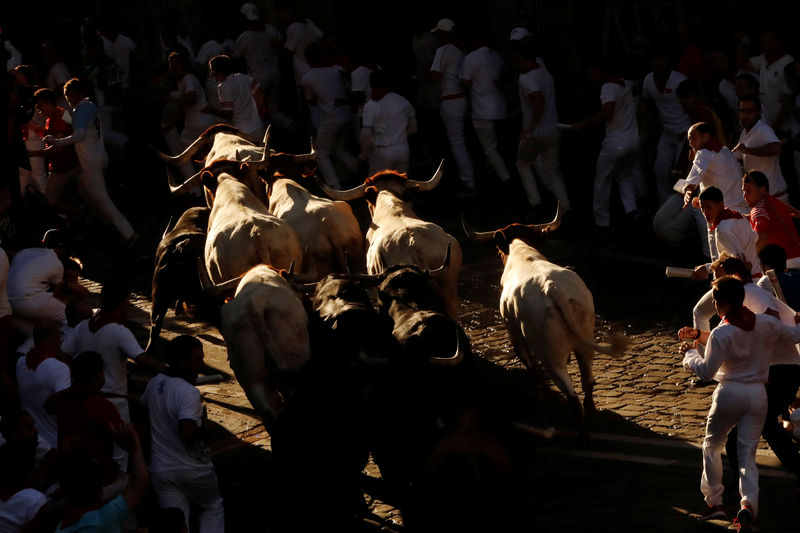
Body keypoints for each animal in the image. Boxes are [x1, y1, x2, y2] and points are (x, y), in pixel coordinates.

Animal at [462, 204, 624, 444]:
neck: (525, 256)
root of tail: (553, 289)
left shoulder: (515, 335)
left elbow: (530, 366)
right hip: (584, 342)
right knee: (587, 381)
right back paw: (591, 412)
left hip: (551, 357)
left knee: (571, 394)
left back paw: (583, 436)